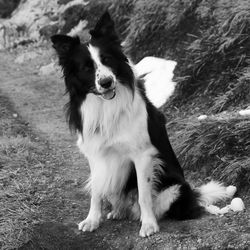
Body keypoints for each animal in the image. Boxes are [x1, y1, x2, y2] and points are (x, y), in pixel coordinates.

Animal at [51, 11, 232, 237]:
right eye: (86, 68)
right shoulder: (95, 155)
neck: (106, 107)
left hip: (174, 188)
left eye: (107, 60)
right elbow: (96, 191)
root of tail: (192, 193)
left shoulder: (143, 155)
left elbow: (144, 195)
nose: (106, 82)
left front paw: (149, 224)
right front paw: (92, 220)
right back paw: (118, 211)